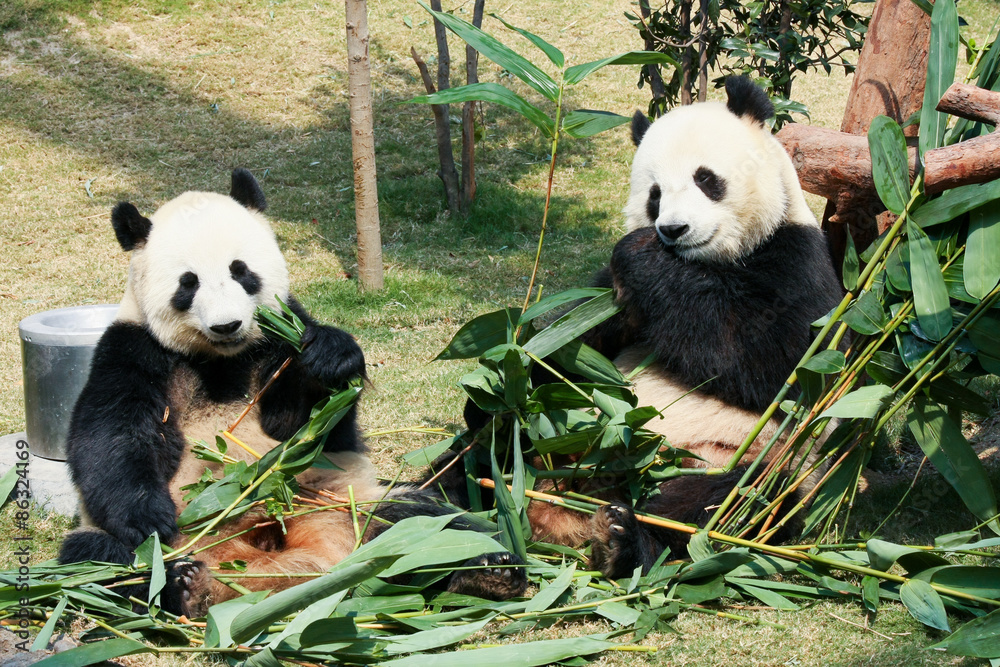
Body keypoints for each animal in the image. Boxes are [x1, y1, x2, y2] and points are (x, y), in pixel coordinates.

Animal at [58, 169, 526, 617]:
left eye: (241, 271)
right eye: (187, 283)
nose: (227, 325)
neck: (221, 360)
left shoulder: (282, 339)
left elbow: (306, 425)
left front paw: (329, 358)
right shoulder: (136, 350)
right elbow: (112, 435)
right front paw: (149, 518)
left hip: (349, 502)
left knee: (431, 524)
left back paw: (489, 572)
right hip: (138, 544)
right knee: (103, 561)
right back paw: (183, 586)